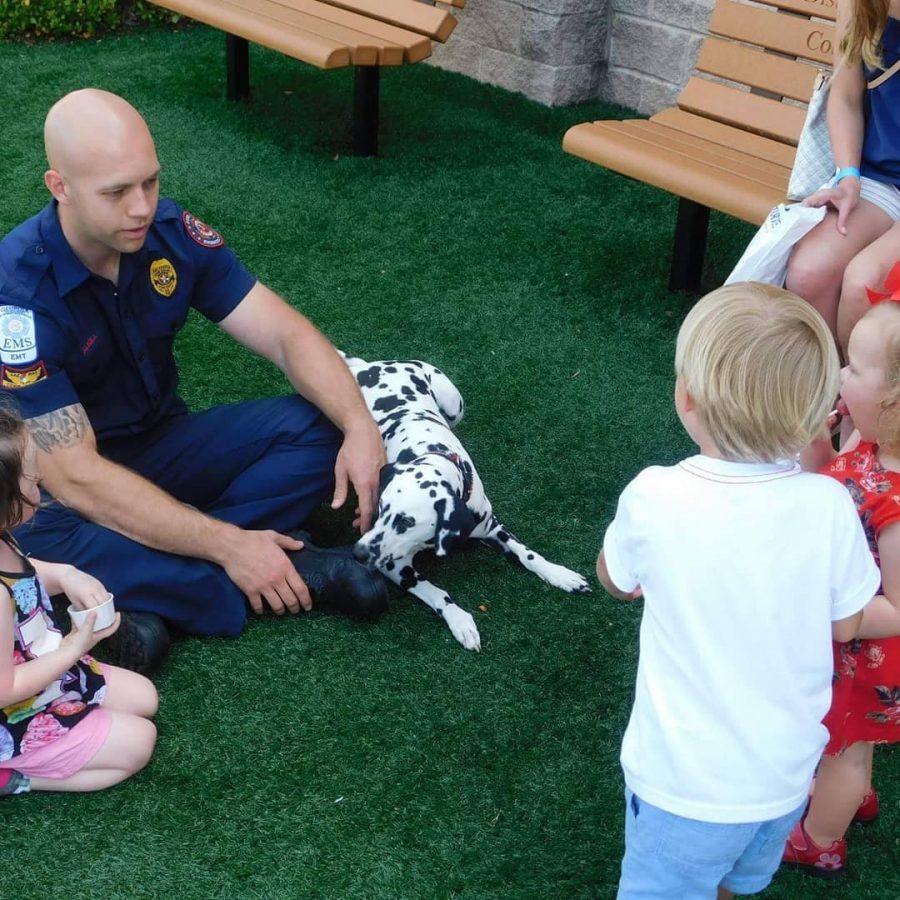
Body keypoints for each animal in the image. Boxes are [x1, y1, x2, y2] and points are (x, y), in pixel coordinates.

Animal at [342, 354, 592, 652]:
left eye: (407, 522)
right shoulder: (395, 565)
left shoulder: (492, 527)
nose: (358, 553)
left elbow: (527, 554)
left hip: (454, 404)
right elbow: (435, 591)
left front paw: (559, 574)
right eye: (381, 508)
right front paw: (460, 621)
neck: (433, 453)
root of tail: (369, 365)